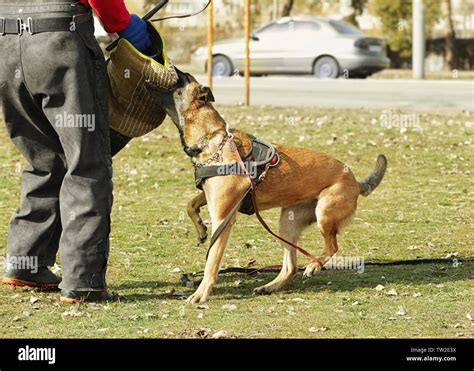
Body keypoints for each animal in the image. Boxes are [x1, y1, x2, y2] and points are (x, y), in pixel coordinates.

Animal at [146, 70, 386, 306]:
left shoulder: (223, 218)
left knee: (332, 246)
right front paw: (200, 228)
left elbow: (211, 261)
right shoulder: (213, 197)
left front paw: (201, 293)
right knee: (290, 266)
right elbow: (191, 204)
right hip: (287, 223)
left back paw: (314, 265)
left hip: (324, 213)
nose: (171, 68)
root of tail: (356, 182)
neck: (211, 139)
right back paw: (270, 286)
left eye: (182, 77)